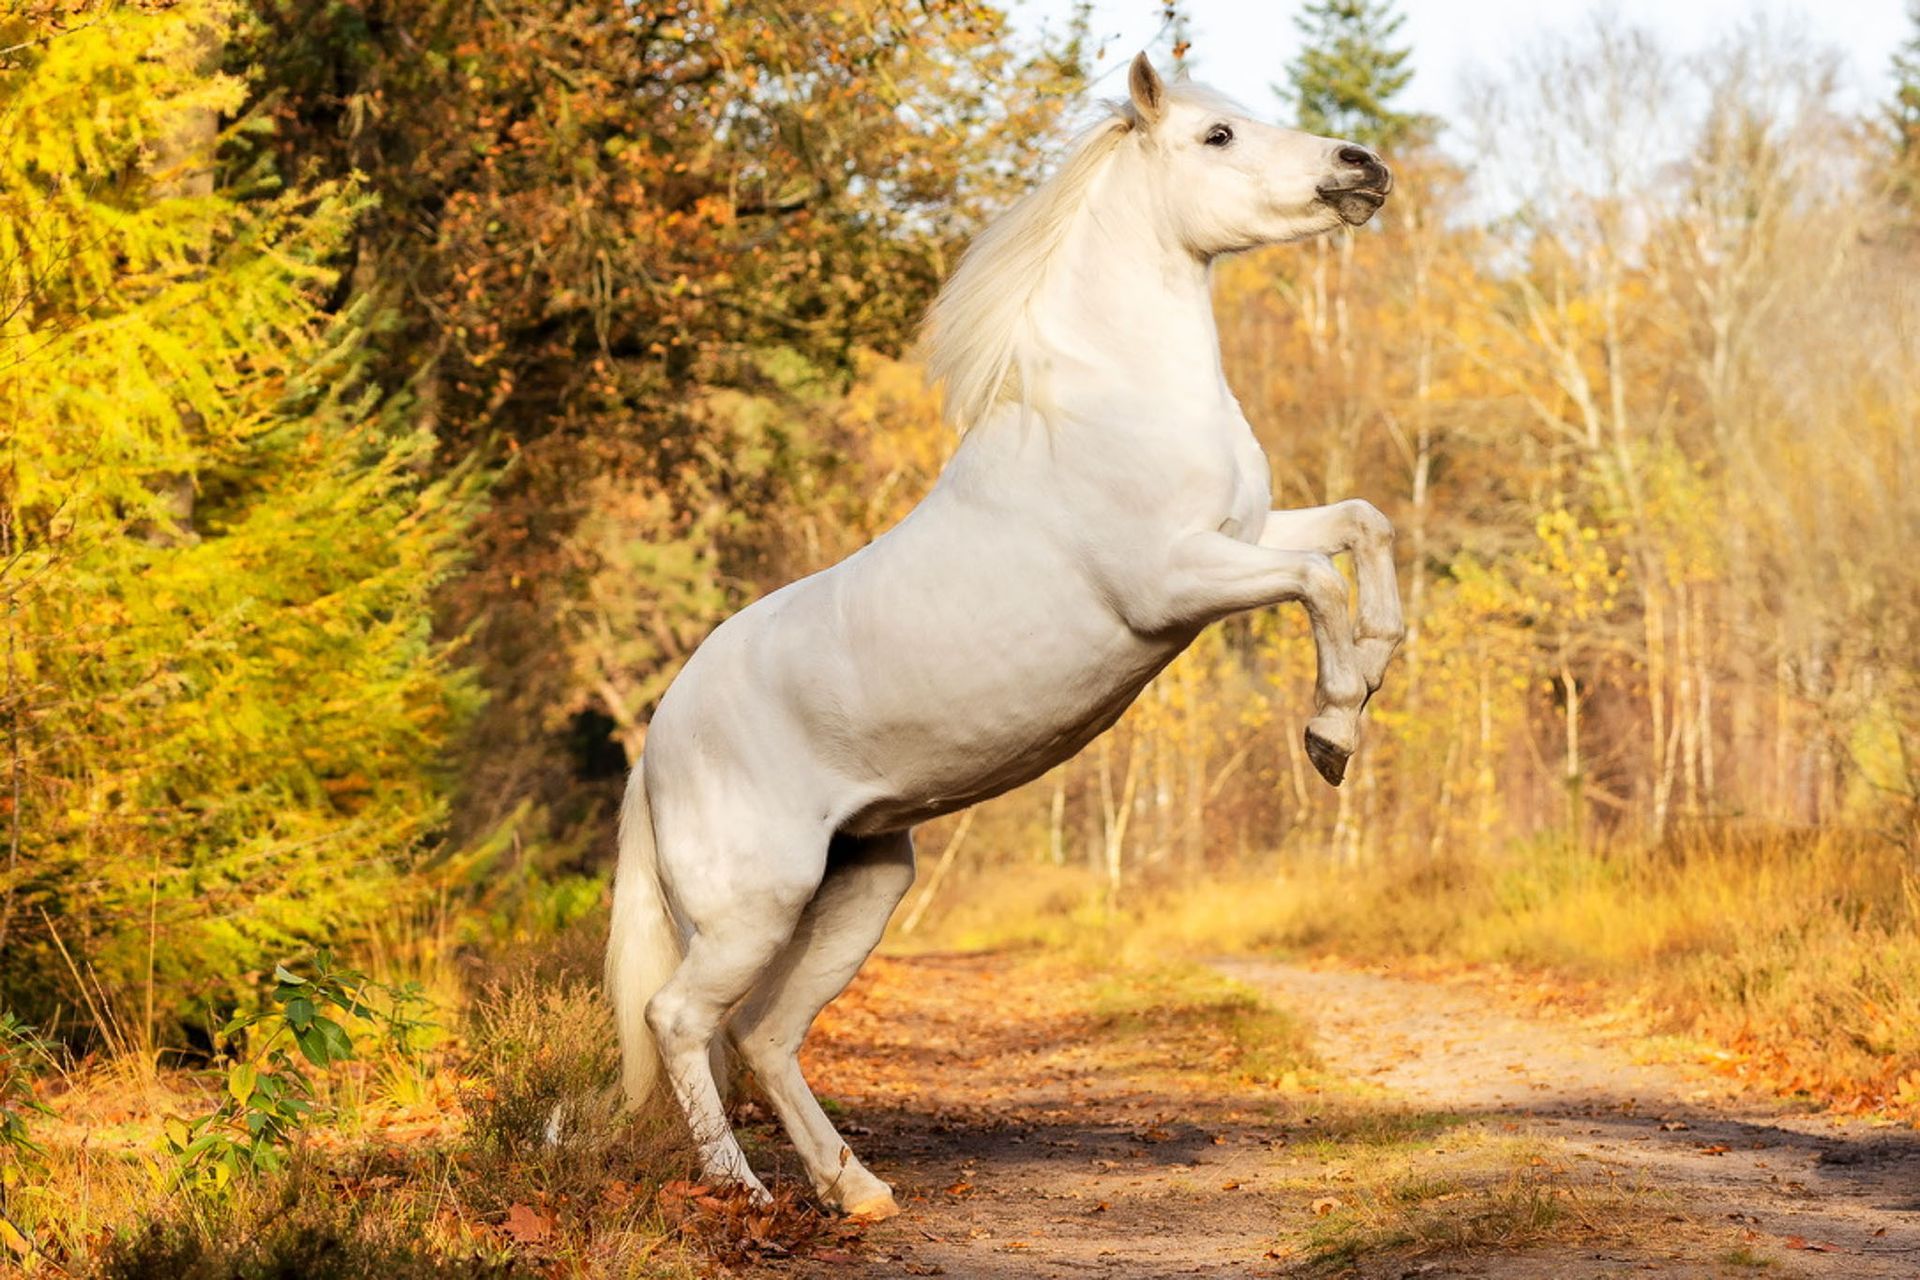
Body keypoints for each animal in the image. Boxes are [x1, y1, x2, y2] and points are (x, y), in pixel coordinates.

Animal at [607, 54, 1402, 1221]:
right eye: (1216, 135)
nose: (1364, 167)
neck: (1112, 402)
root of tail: (658, 742)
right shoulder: (1177, 580)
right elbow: (1317, 582)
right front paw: (1332, 733)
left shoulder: (1240, 535)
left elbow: (1360, 525)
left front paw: (1377, 671)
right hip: (755, 906)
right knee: (680, 1019)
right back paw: (743, 1194)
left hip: (863, 886)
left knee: (764, 1033)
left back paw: (857, 1189)